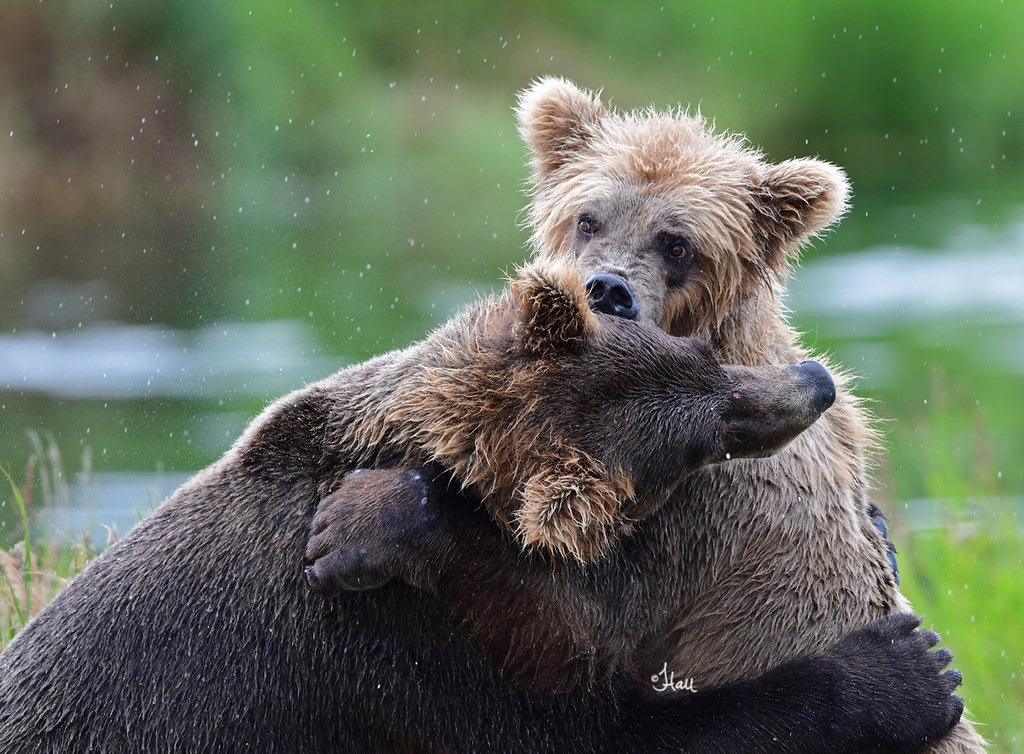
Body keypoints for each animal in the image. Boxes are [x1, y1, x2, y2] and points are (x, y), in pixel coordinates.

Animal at [0, 259, 962, 753]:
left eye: (696, 357)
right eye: (704, 437)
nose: (815, 381)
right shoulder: (392, 653)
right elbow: (603, 728)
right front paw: (908, 671)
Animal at [305, 78, 985, 752]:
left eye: (677, 243)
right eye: (588, 219)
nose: (608, 288)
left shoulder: (700, 501)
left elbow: (572, 625)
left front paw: (377, 523)